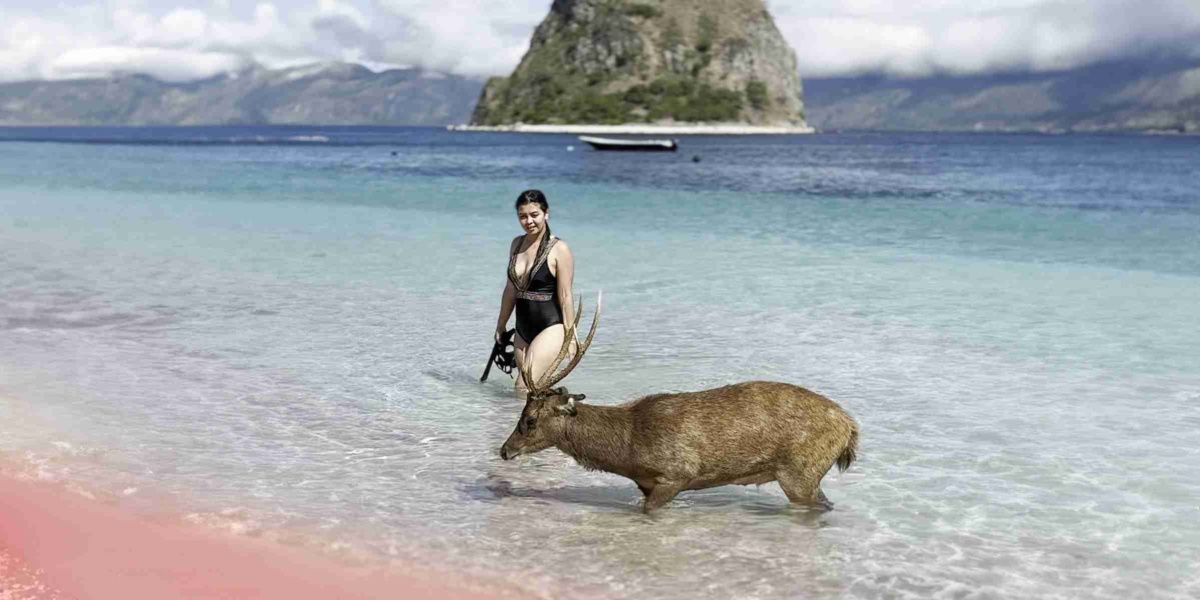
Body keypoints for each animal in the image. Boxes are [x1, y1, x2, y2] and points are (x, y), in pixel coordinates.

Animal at [499, 292, 860, 513]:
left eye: (530, 419)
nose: (504, 450)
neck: (628, 449)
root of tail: (850, 428)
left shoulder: (677, 474)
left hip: (801, 471)